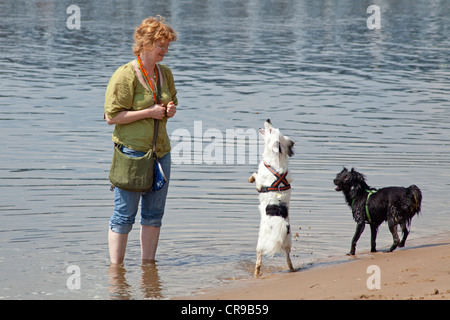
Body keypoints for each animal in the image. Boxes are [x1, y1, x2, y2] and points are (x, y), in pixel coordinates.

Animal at [250, 119, 296, 276]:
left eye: (271, 130)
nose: (268, 119)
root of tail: (278, 223)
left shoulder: (260, 182)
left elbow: (255, 175)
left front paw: (251, 177)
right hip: (288, 242)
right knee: (288, 258)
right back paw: (292, 269)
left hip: (260, 243)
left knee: (258, 260)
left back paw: (256, 273)